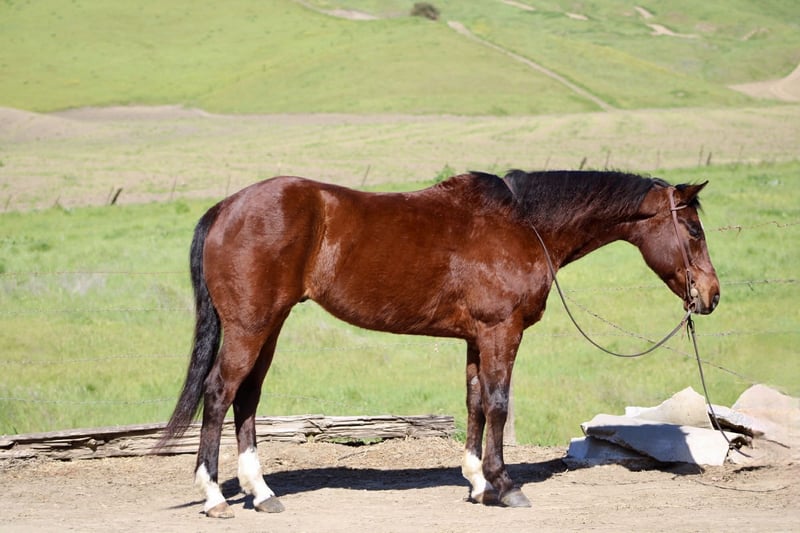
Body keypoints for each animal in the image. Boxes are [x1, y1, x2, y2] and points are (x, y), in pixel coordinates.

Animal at [156, 169, 720, 518]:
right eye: (693, 229)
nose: (711, 295)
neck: (523, 225)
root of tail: (226, 207)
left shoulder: (476, 337)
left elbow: (475, 403)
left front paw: (477, 483)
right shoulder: (500, 331)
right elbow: (498, 403)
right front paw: (504, 486)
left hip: (267, 327)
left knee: (246, 397)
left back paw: (261, 493)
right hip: (250, 327)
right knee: (219, 393)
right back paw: (215, 496)